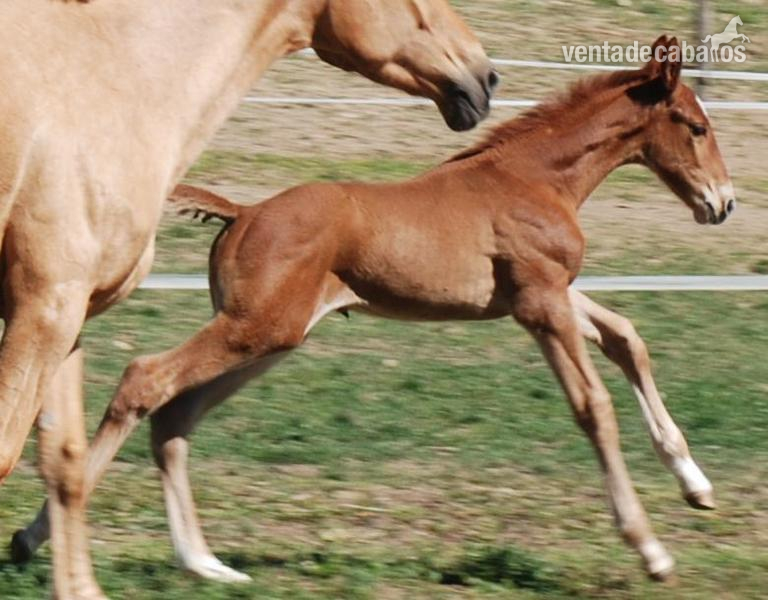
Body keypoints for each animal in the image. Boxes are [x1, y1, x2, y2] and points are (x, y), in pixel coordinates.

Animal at [13, 35, 736, 582]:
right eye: (697, 127)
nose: (722, 204)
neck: (532, 179)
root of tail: (243, 212)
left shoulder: (547, 293)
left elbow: (627, 337)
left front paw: (696, 485)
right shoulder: (539, 303)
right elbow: (594, 407)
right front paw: (651, 550)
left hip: (272, 337)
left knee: (175, 415)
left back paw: (199, 562)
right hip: (254, 329)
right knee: (145, 381)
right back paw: (40, 537)